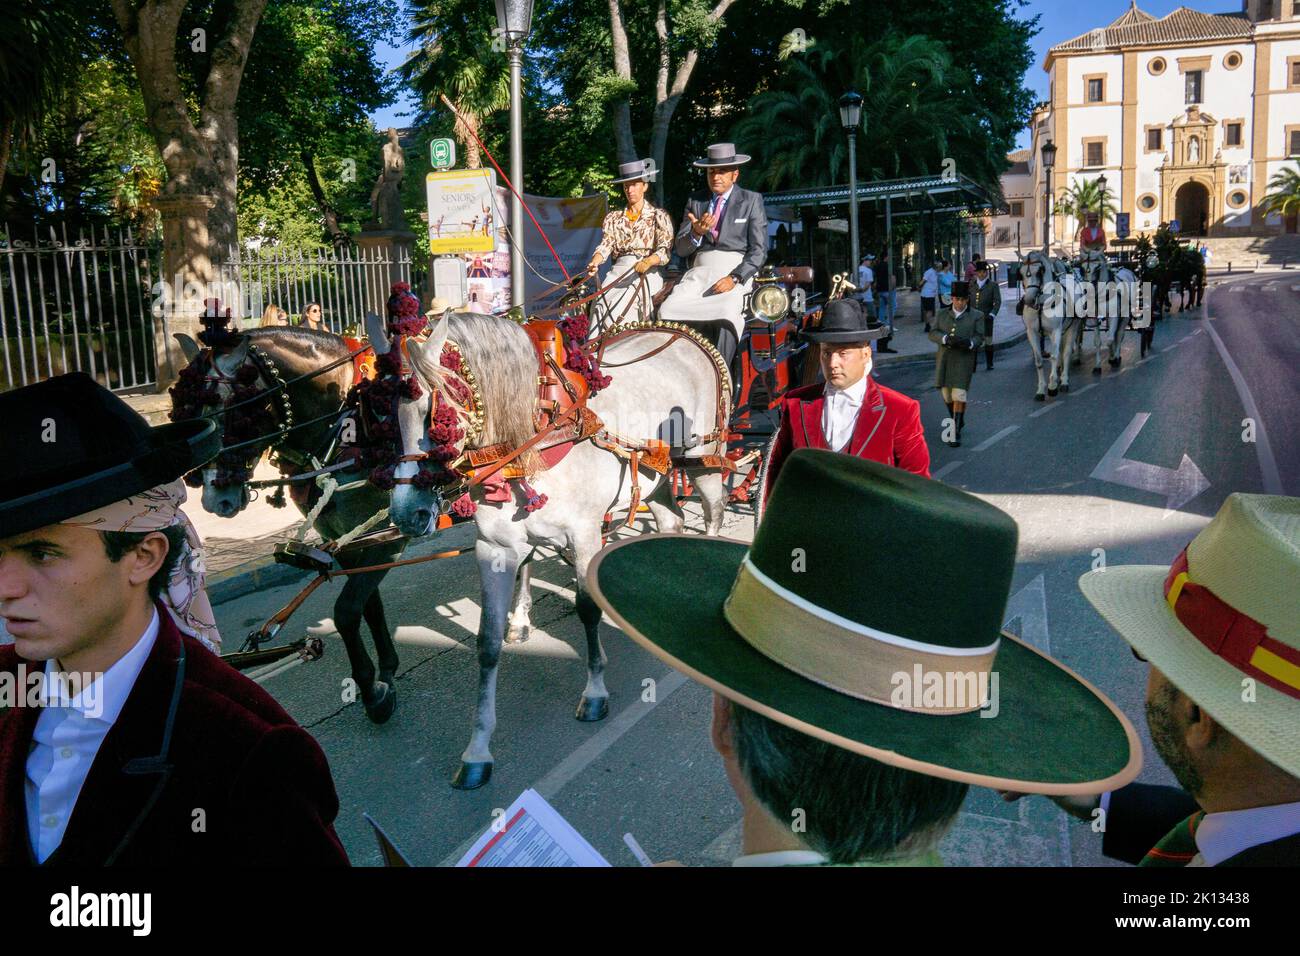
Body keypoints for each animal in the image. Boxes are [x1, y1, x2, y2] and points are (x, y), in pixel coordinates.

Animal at [170, 325, 400, 723]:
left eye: (236, 414)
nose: (216, 501)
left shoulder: (387, 535)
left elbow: (346, 612)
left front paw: (372, 691)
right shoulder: (350, 541)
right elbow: (368, 606)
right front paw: (386, 670)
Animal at [374, 310, 733, 790]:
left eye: (435, 416)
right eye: (387, 414)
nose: (406, 514)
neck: (533, 435)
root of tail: (678, 332)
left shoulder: (584, 536)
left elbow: (587, 610)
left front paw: (595, 692)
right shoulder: (495, 549)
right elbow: (487, 642)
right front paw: (477, 749)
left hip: (703, 460)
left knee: (712, 515)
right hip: (655, 477)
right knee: (671, 522)